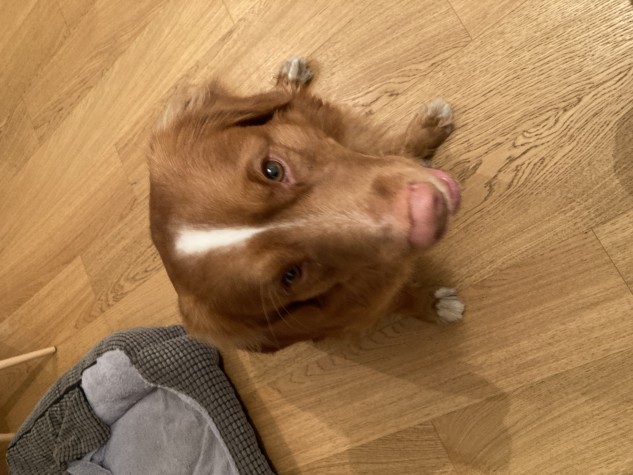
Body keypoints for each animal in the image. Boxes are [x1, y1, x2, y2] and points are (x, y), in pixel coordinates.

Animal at [148, 57, 464, 352]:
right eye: (291, 276)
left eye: (272, 170)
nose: (427, 212)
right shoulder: (360, 307)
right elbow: (400, 299)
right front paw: (431, 306)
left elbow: (398, 150)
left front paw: (427, 130)